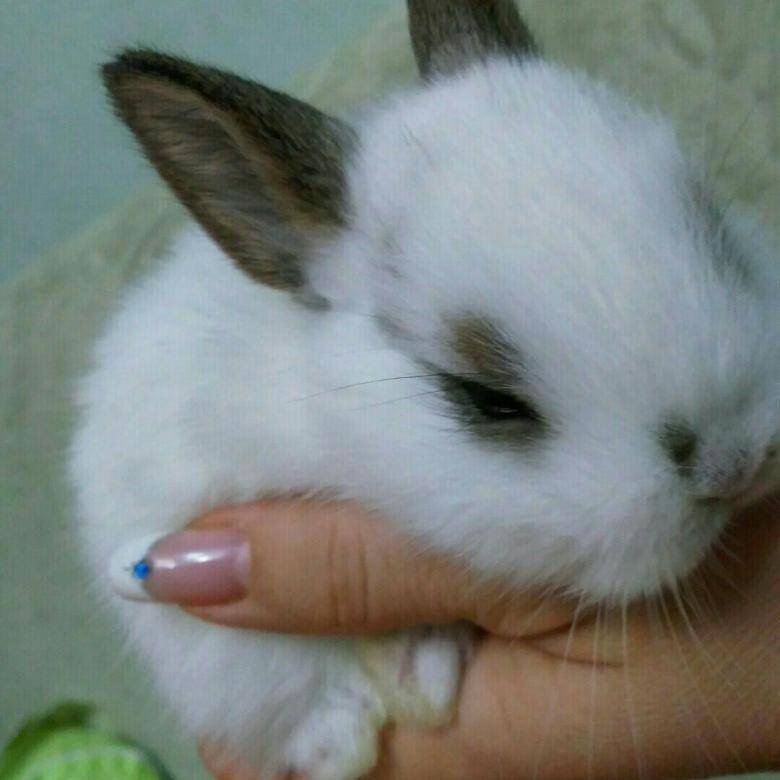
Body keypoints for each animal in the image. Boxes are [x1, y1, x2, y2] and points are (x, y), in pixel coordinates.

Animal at [69, 1, 780, 778]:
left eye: (717, 228)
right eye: (484, 396)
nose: (738, 466)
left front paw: (419, 667)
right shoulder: (164, 532)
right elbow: (261, 673)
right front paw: (343, 735)